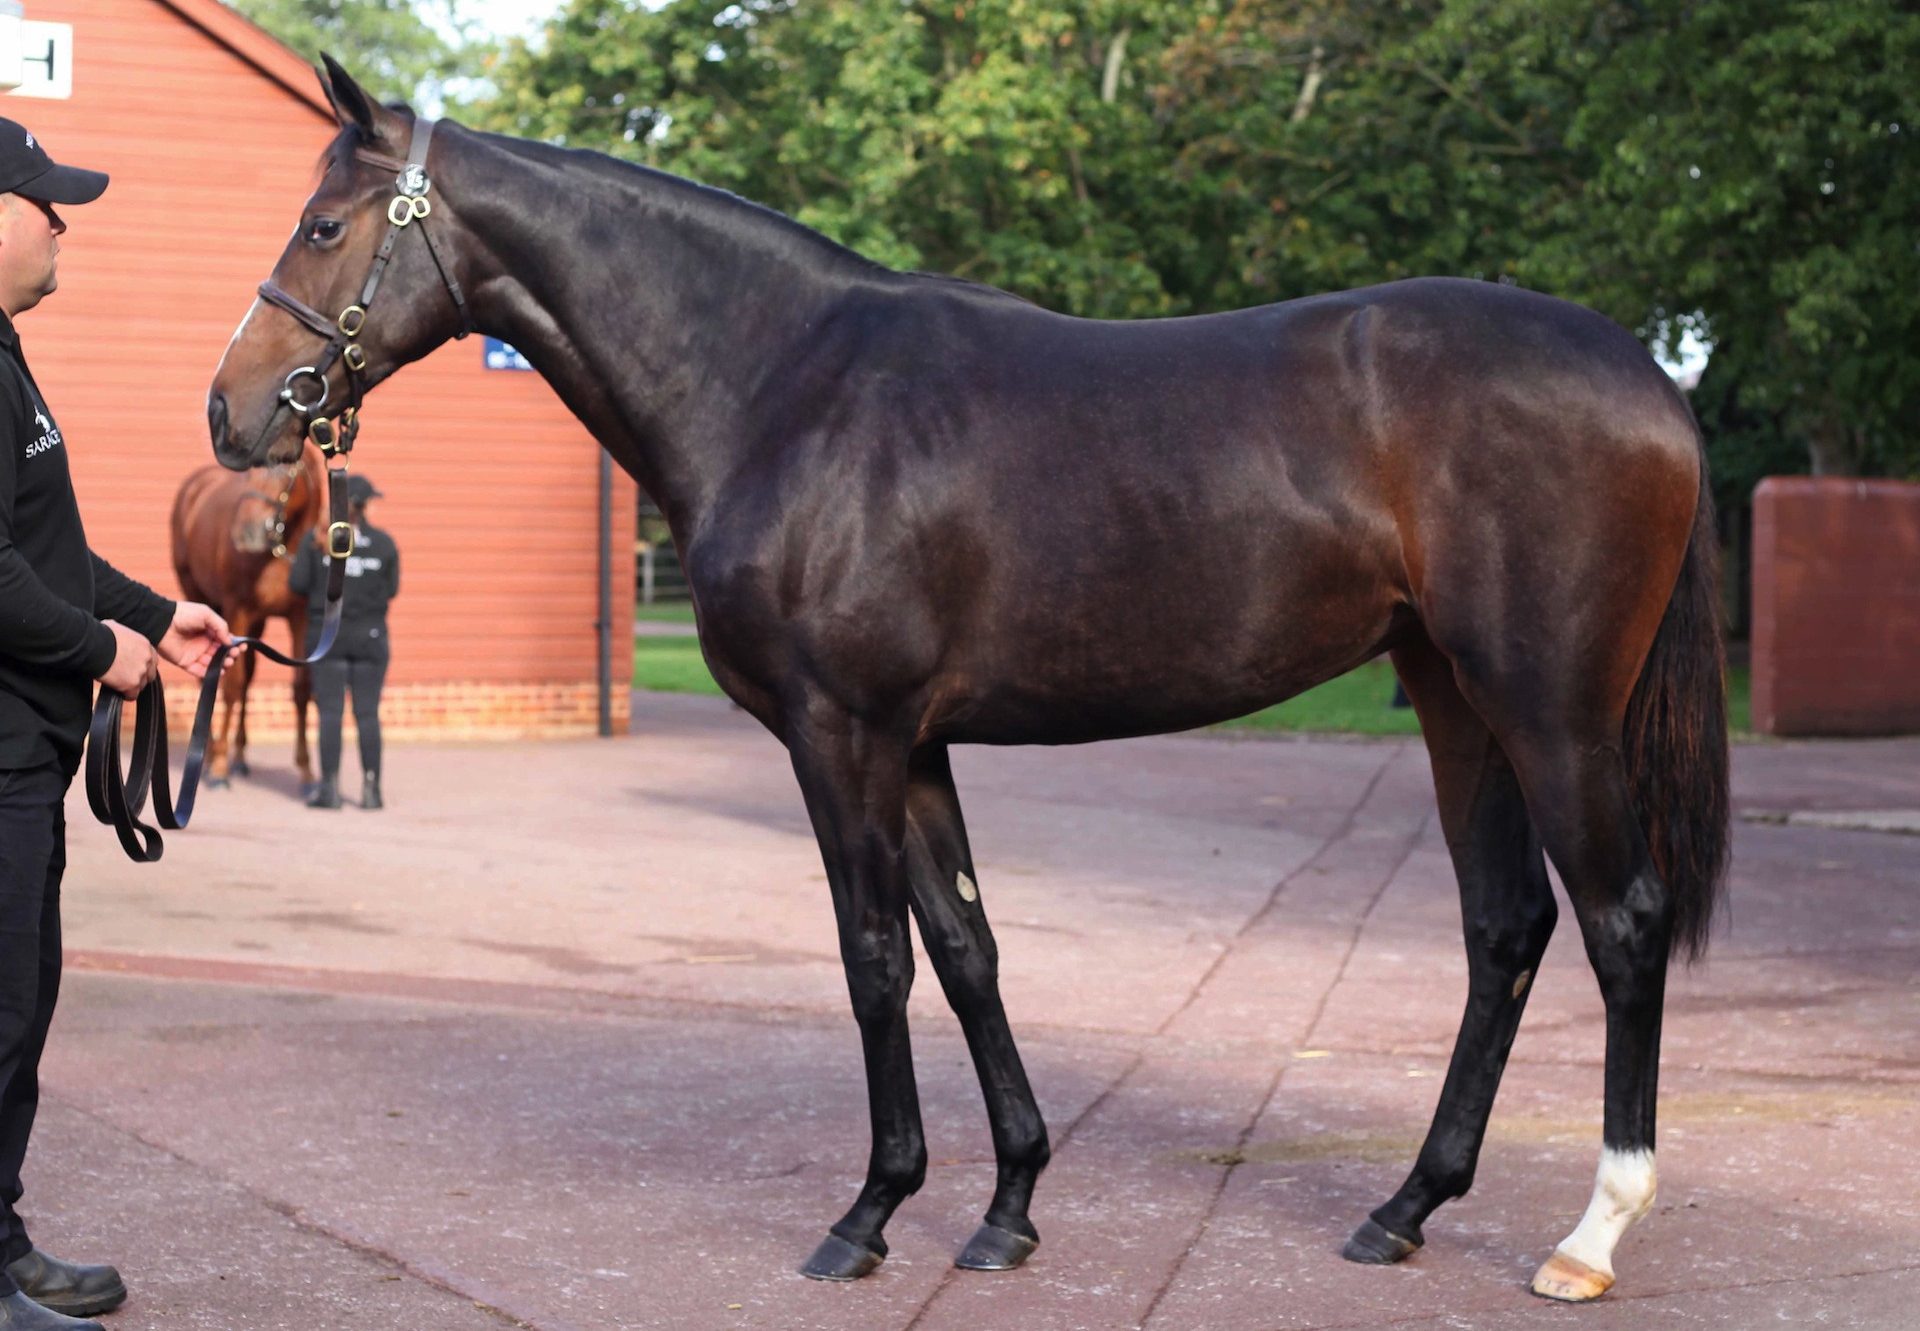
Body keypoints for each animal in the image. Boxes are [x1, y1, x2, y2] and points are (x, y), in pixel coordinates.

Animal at [170, 441, 328, 787]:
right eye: (250, 470)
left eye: (287, 467)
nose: (246, 532)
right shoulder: (237, 610)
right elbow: (231, 686)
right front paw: (218, 768)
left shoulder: (300, 618)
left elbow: (301, 689)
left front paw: (307, 772)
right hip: (200, 596)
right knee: (215, 678)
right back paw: (211, 755)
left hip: (258, 621)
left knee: (250, 677)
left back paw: (240, 757)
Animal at [202, 59, 1735, 1298]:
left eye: (325, 226)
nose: (231, 408)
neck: (782, 384)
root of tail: (1649, 381)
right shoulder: (918, 742)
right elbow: (967, 948)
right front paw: (1006, 1208)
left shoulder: (841, 734)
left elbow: (874, 955)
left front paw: (870, 1213)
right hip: (1455, 696)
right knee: (1504, 927)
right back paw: (1405, 1205)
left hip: (1550, 709)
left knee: (1623, 920)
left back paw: (1591, 1233)